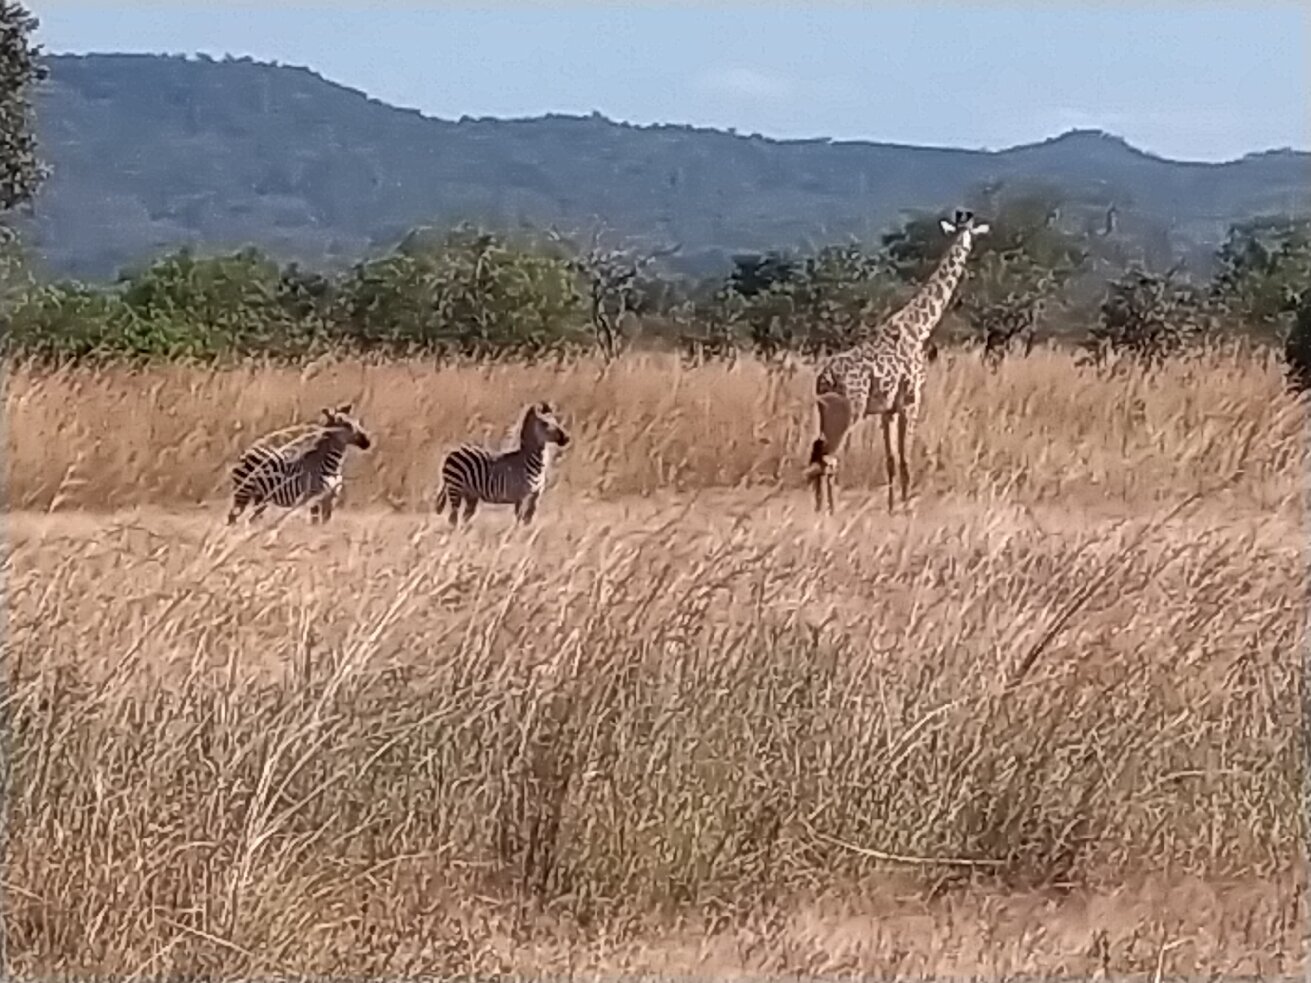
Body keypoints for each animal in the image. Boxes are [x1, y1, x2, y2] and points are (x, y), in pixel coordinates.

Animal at [226, 403, 373, 526]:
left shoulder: (329, 499)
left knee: (251, 519)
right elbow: (315, 523)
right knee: (233, 517)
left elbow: (325, 523)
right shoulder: (313, 497)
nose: (368, 442)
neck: (334, 466)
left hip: (260, 497)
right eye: (346, 425)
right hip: (243, 493)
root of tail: (248, 450)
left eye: (358, 423)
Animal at [437, 401, 570, 527]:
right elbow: (518, 520)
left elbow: (528, 520)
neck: (533, 464)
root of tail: (454, 451)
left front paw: (523, 533)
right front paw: (514, 533)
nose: (567, 438)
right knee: (453, 518)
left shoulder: (536, 495)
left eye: (556, 421)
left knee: (465, 516)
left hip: (470, 494)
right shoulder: (520, 496)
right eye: (545, 423)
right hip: (455, 488)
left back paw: (462, 531)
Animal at [808, 209, 991, 513]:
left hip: (827, 412)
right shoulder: (911, 401)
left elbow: (891, 459)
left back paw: (821, 508)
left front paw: (893, 508)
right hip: (850, 410)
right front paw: (907, 508)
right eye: (967, 236)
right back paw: (832, 511)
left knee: (817, 450)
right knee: (829, 457)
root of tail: (825, 379)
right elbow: (906, 458)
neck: (918, 327)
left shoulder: (888, 410)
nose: (968, 250)